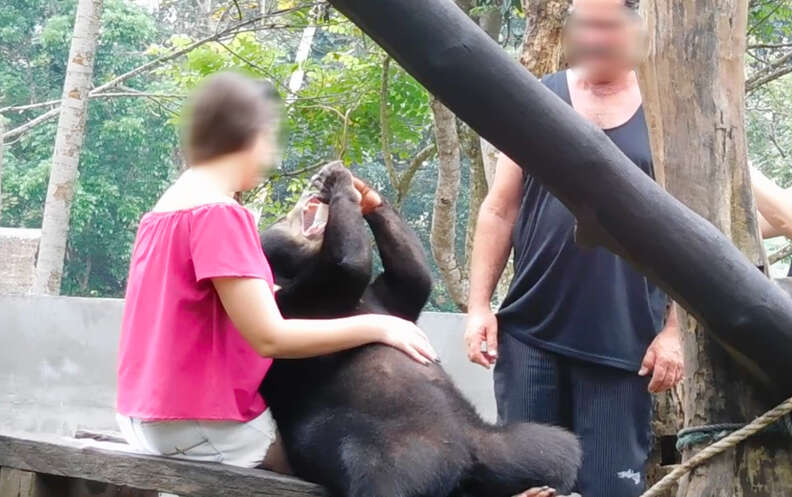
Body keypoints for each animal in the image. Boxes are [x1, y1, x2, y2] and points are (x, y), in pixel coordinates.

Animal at [260, 163, 580, 496]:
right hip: (385, 450)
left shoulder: (384, 297)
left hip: (504, 443)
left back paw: (535, 488)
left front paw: (362, 190)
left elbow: (412, 278)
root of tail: (465, 457)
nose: (310, 190)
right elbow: (347, 269)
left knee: (558, 449)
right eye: (282, 221)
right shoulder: (295, 303)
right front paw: (341, 184)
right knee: (384, 482)